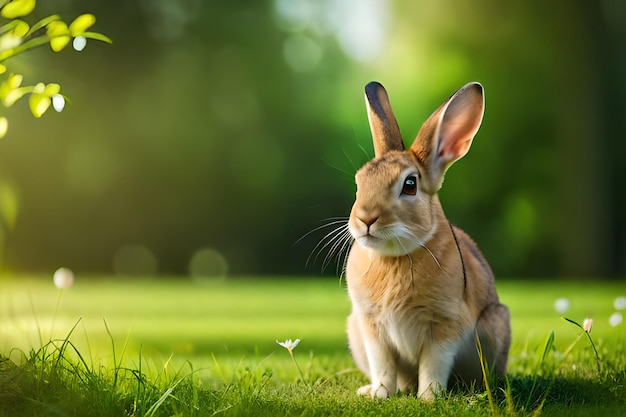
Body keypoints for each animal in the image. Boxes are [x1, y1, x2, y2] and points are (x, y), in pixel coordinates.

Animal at [344, 80, 510, 400]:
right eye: (359, 182)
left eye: (410, 185)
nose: (365, 219)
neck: (395, 257)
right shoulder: (371, 327)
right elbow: (383, 365)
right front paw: (379, 393)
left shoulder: (445, 324)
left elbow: (434, 363)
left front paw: (429, 398)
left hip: (495, 323)